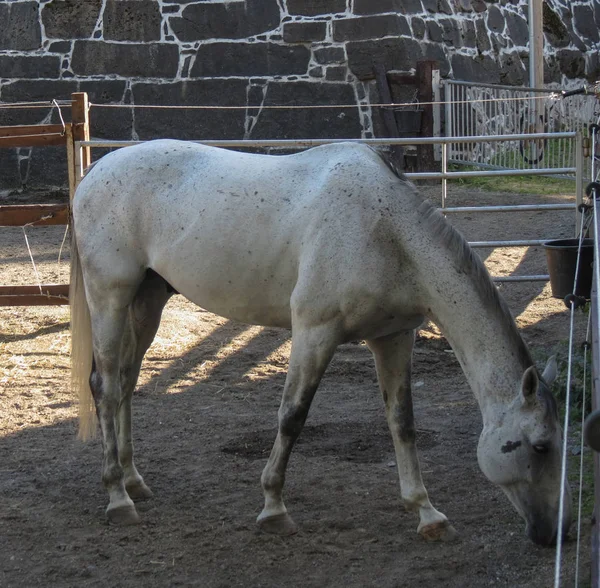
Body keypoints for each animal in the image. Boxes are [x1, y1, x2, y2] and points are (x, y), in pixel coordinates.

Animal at [70, 140, 572, 544]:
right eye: (539, 446)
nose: (556, 533)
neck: (385, 232)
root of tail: (94, 171)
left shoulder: (394, 338)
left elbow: (402, 423)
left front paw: (427, 513)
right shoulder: (315, 332)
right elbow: (293, 417)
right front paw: (274, 508)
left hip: (148, 300)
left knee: (127, 384)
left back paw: (135, 481)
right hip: (110, 297)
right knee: (106, 386)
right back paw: (118, 497)